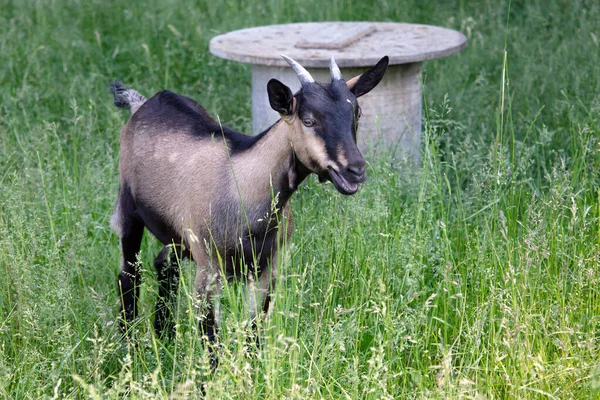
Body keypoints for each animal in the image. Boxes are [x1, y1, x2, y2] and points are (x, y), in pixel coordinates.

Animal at [110, 54, 390, 346]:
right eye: (308, 120)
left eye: (356, 113)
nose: (355, 169)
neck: (244, 187)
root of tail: (142, 103)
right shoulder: (209, 268)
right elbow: (210, 334)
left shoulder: (267, 267)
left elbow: (254, 327)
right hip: (128, 208)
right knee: (128, 273)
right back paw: (128, 341)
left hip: (177, 233)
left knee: (164, 264)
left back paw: (163, 335)